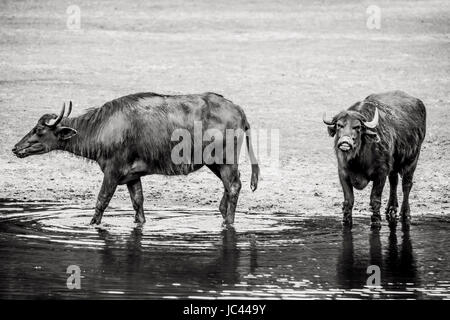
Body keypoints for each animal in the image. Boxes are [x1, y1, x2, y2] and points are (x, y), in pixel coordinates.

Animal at [12, 90, 258, 225]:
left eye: (39, 130)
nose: (16, 148)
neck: (102, 127)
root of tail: (239, 111)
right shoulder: (132, 176)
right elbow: (138, 204)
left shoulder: (112, 171)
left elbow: (101, 201)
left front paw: (91, 224)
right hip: (214, 163)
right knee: (230, 186)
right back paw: (222, 213)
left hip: (225, 160)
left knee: (234, 185)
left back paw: (228, 221)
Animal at [324, 91, 426, 229]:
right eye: (339, 125)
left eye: (357, 127)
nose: (345, 142)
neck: (358, 161)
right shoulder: (343, 173)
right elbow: (348, 200)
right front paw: (346, 221)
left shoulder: (381, 173)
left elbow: (375, 199)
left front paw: (376, 221)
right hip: (394, 165)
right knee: (394, 181)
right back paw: (391, 208)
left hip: (412, 159)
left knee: (406, 185)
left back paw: (405, 213)